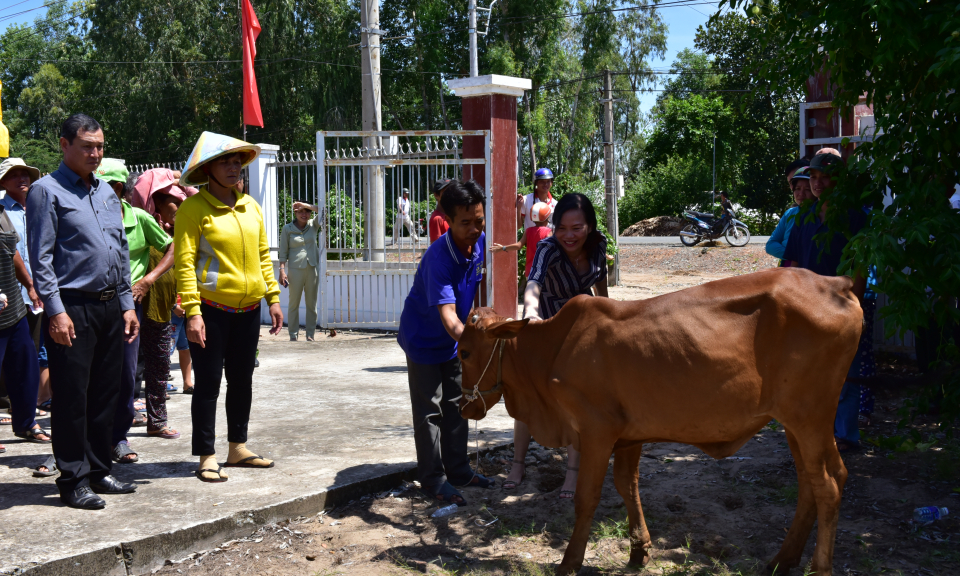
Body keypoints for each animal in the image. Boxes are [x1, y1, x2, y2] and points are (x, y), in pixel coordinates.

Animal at [458, 268, 864, 572]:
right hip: (797, 422)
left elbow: (587, 498)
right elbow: (628, 486)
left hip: (809, 417)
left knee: (827, 486)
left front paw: (570, 561)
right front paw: (640, 550)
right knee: (815, 481)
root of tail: (835, 284)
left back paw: (817, 567)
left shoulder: (596, 430)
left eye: (463, 352)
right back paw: (783, 559)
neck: (553, 350)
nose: (463, 407)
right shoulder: (628, 435)